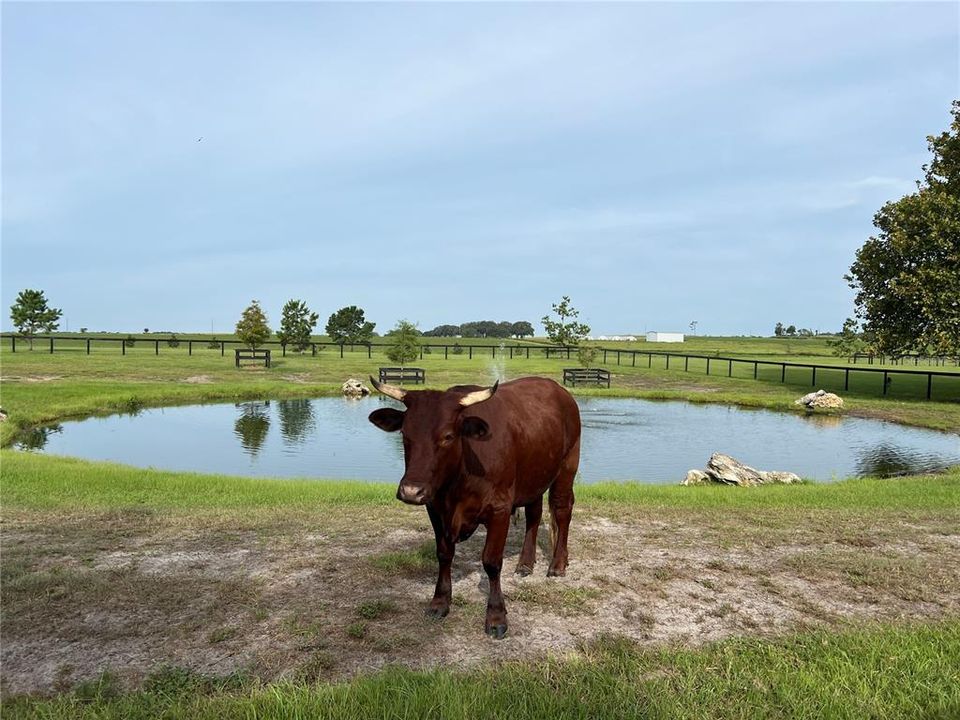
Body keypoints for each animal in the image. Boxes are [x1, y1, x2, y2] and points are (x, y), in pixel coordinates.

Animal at [366, 374, 576, 640]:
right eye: (404, 433)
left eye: (447, 436)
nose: (411, 492)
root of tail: (557, 388)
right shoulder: (435, 508)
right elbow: (444, 554)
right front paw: (440, 602)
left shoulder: (500, 509)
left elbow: (492, 562)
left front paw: (496, 616)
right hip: (534, 477)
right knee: (534, 514)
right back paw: (525, 563)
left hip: (567, 468)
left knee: (562, 511)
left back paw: (558, 564)